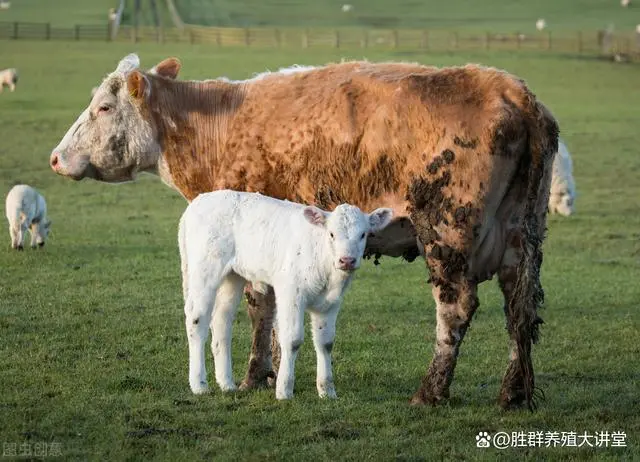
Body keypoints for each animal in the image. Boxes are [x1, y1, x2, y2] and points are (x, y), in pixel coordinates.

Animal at [178, 191, 392, 400]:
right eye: (331, 234)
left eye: (363, 234)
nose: (347, 260)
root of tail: (196, 203)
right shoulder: (291, 293)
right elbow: (292, 339)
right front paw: (284, 390)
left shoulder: (331, 303)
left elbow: (325, 343)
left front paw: (327, 391)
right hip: (203, 270)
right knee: (197, 320)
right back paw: (199, 384)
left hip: (233, 277)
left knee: (221, 321)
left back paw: (227, 383)